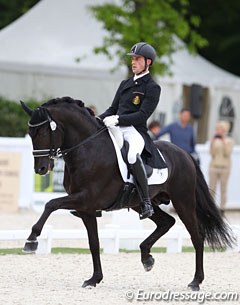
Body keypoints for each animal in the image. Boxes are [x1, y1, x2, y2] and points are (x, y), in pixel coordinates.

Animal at [19, 97, 233, 290]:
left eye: (44, 132)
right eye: (30, 133)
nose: (41, 169)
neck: (88, 149)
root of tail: (185, 153)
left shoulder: (84, 198)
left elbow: (51, 204)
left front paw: (31, 240)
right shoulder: (86, 208)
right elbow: (94, 242)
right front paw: (94, 279)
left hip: (183, 202)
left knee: (197, 236)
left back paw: (195, 281)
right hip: (142, 203)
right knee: (167, 222)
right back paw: (146, 257)